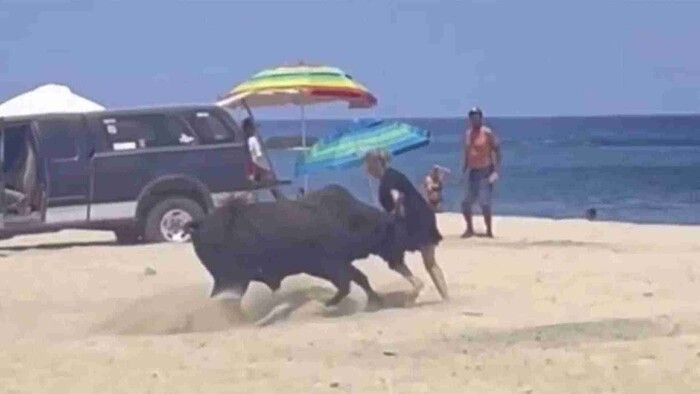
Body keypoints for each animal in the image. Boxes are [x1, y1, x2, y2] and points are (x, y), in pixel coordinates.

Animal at [186, 185, 404, 308]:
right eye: (389, 231)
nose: (399, 260)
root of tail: (200, 224)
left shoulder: (334, 265)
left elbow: (359, 278)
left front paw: (376, 301)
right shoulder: (331, 265)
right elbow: (347, 284)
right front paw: (328, 304)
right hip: (229, 279)